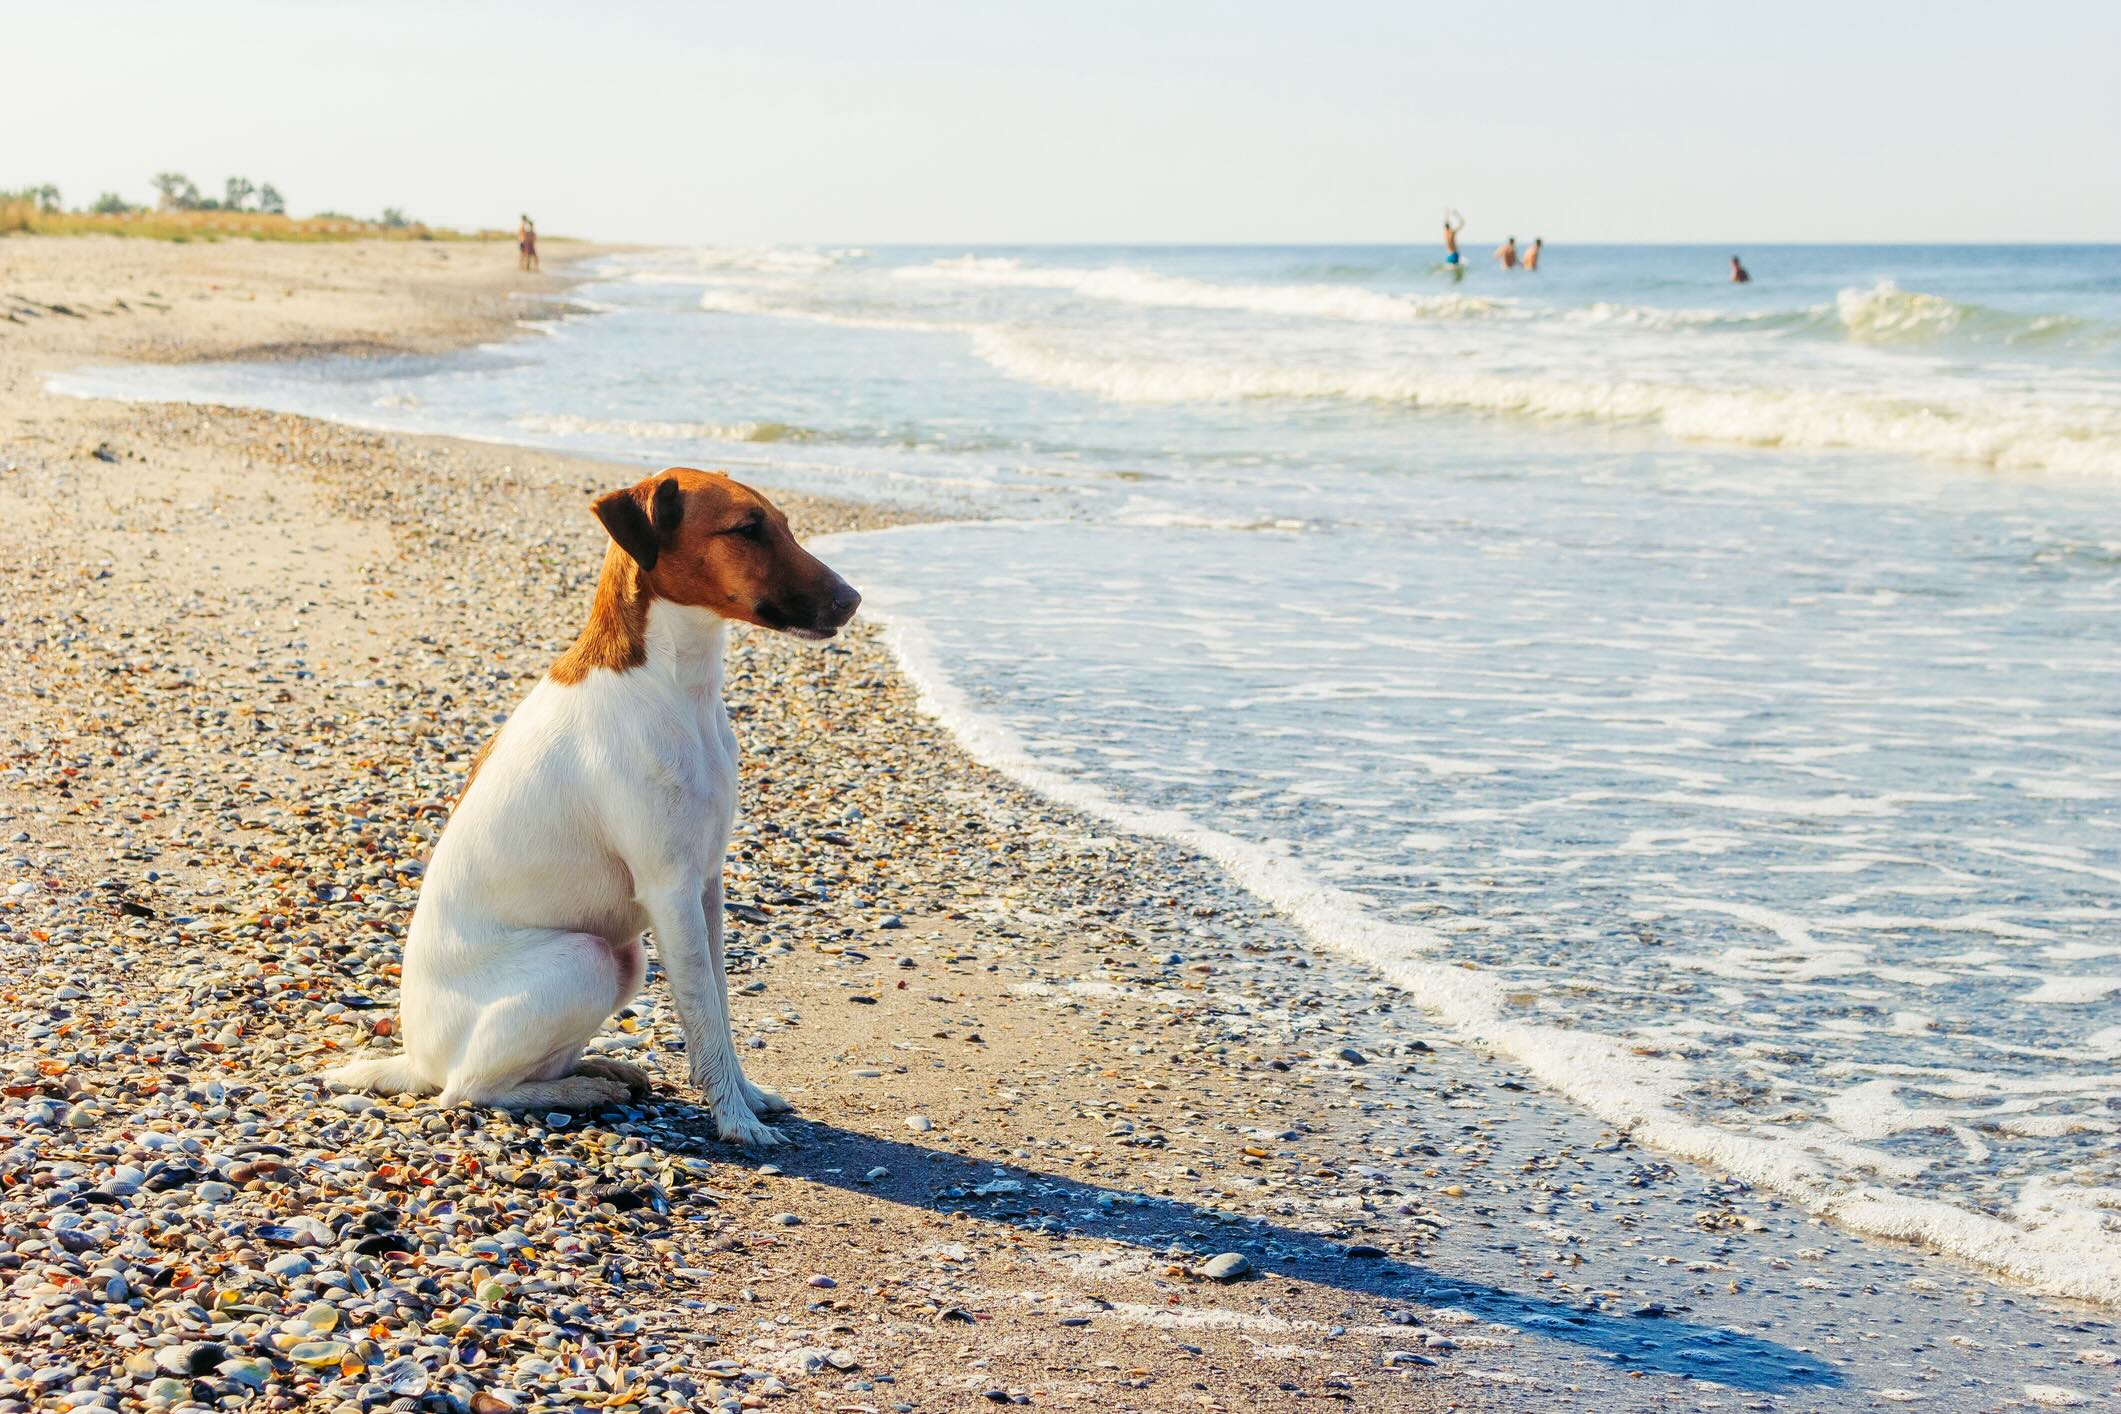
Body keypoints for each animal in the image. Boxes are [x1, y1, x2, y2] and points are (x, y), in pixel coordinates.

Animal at [326, 470, 856, 1144]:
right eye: (746, 529)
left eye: (784, 524)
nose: (853, 599)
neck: (669, 688)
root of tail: (415, 1059)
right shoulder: (670, 890)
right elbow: (704, 1017)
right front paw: (735, 1121)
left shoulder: (706, 884)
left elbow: (720, 1005)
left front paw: (747, 1096)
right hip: (588, 957)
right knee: (465, 1091)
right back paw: (579, 1089)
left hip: (624, 960)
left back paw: (599, 1068)